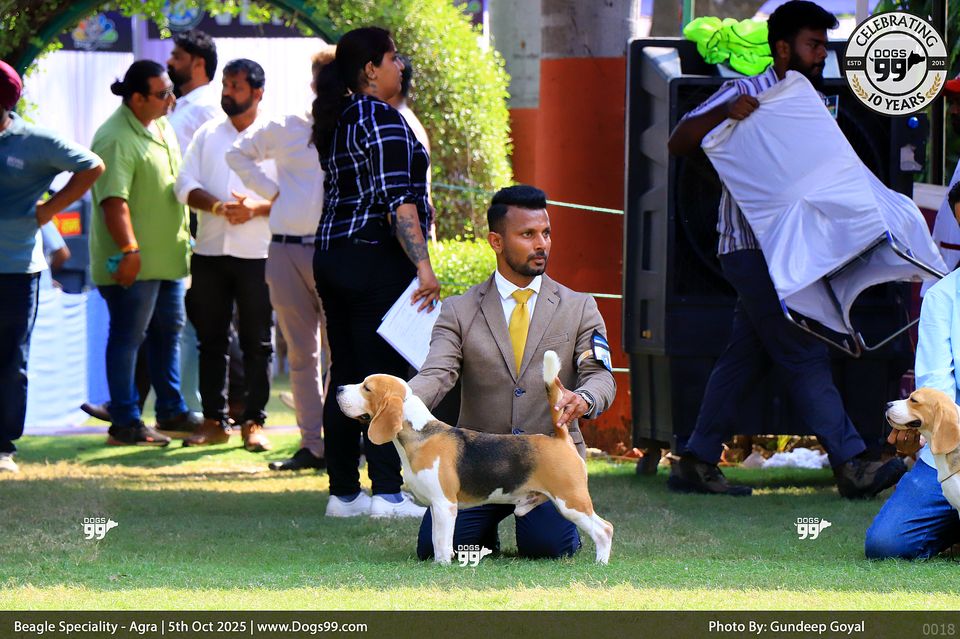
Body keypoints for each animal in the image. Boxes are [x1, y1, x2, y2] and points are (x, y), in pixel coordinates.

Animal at [336, 350, 613, 564]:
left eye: (367, 387)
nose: (338, 388)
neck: (421, 434)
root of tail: (559, 437)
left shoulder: (445, 504)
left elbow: (441, 540)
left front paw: (442, 565)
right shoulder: (437, 506)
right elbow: (435, 538)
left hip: (571, 501)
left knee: (604, 529)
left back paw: (600, 562)